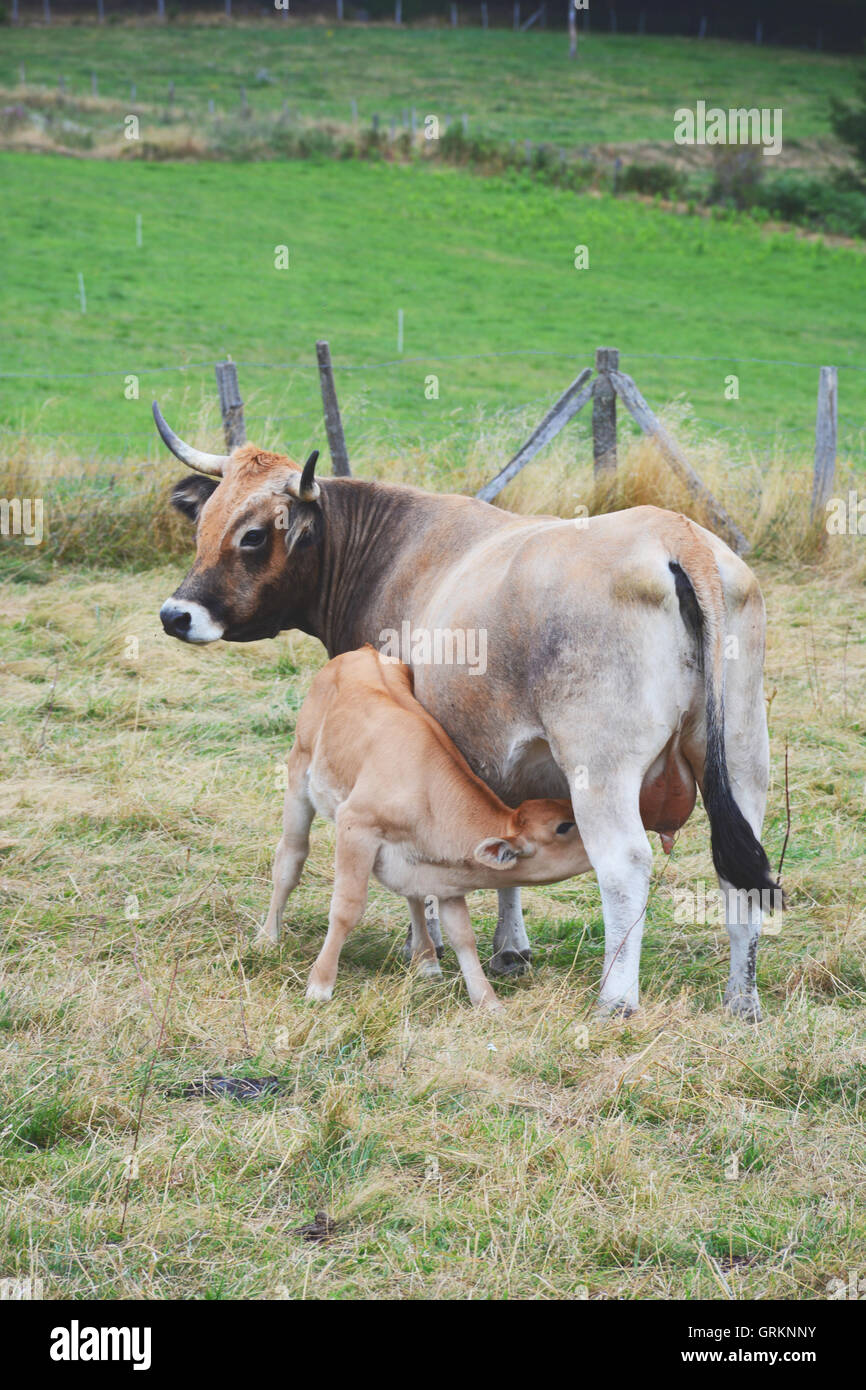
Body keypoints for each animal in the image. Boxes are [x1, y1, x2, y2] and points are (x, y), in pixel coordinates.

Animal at [261, 644, 592, 1017]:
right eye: (563, 826)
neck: (428, 793)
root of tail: (364, 651)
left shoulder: (444, 875)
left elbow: (462, 934)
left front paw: (487, 1001)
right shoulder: (356, 826)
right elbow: (347, 908)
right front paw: (319, 985)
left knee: (414, 898)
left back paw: (427, 960)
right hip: (299, 769)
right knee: (290, 858)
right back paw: (268, 938)